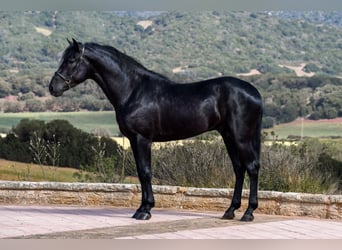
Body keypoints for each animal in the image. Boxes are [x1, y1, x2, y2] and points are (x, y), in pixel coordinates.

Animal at [48, 38, 262, 221]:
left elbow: (145, 172)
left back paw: (248, 213)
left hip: (241, 137)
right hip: (228, 136)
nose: (53, 87)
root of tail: (254, 92)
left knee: (251, 167)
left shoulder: (142, 139)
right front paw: (141, 209)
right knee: (239, 168)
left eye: (71, 60)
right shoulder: (134, 140)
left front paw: (146, 211)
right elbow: (141, 173)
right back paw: (230, 211)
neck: (134, 90)